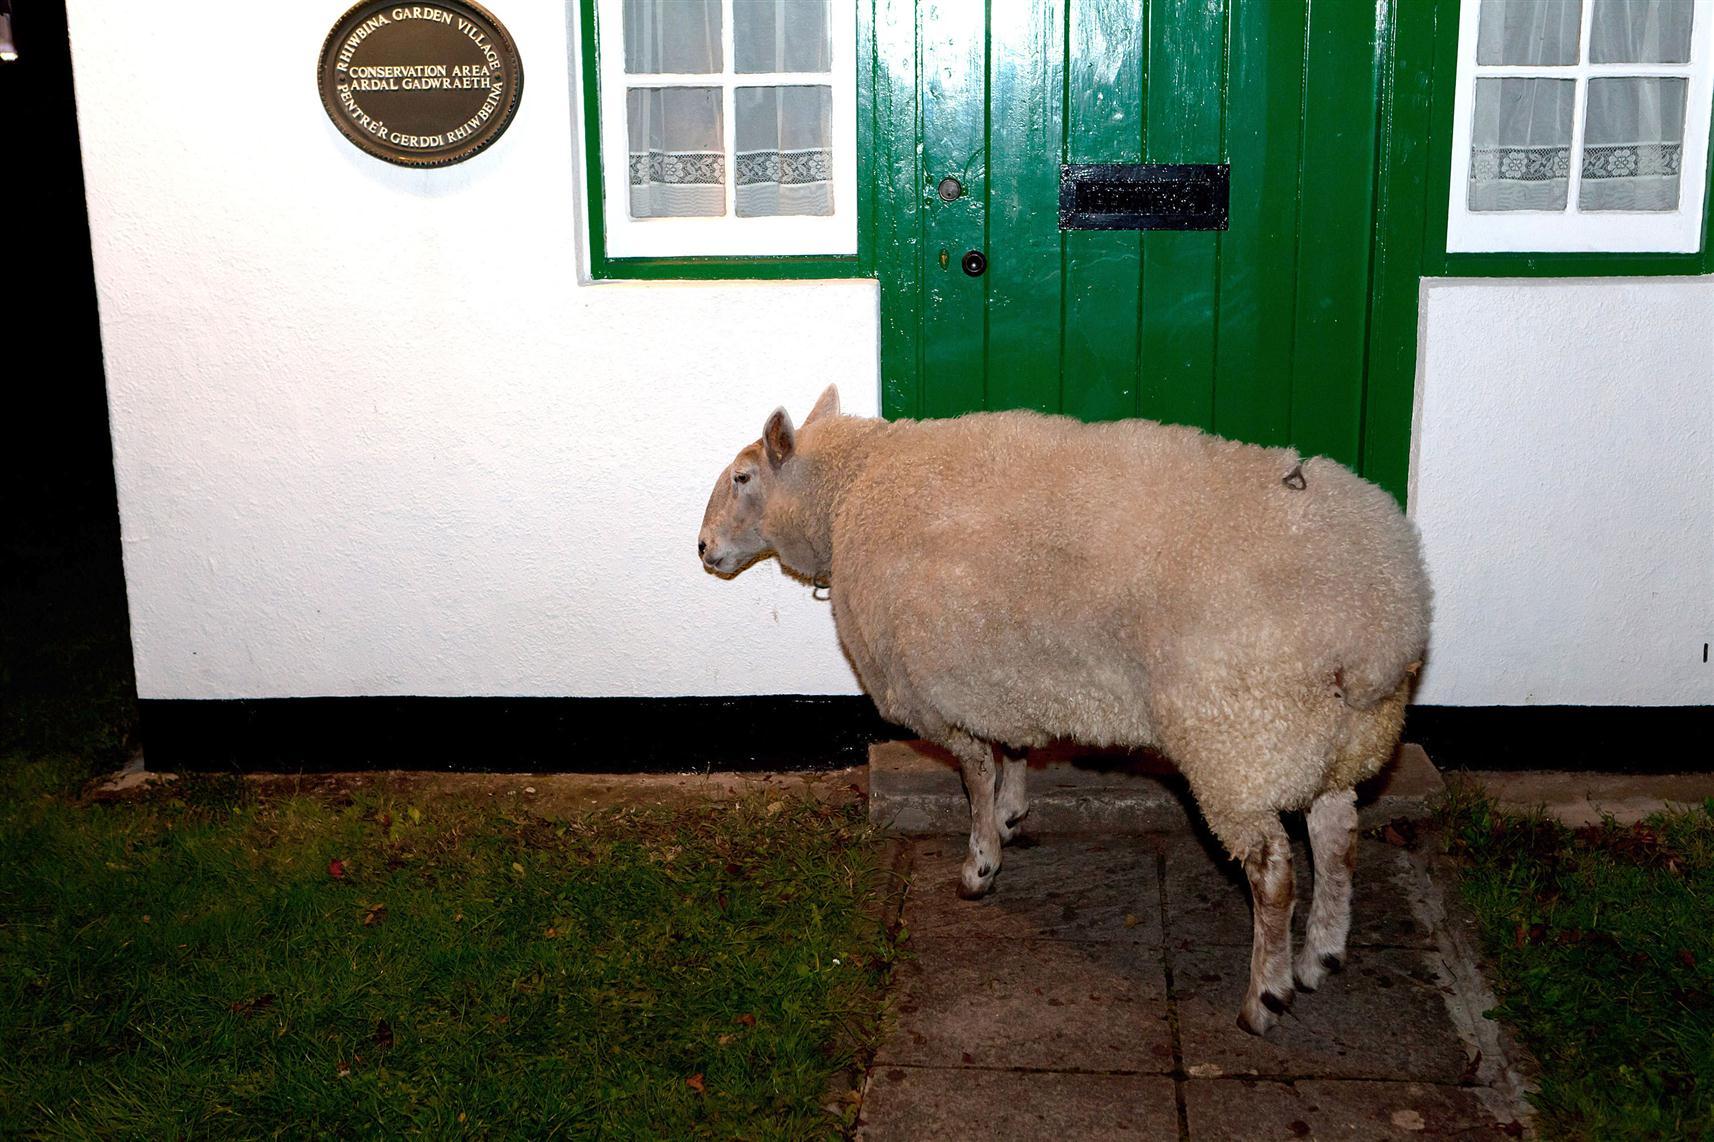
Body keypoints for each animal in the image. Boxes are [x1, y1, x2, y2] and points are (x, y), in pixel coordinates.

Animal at [695, 382, 1432, 1028]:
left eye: (742, 478)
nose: (702, 549)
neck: (848, 496)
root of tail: (1386, 619)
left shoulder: (940, 691)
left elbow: (974, 774)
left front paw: (980, 862)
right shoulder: (1002, 672)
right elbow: (1013, 748)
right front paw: (1013, 811)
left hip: (1237, 740)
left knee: (1272, 869)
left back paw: (1266, 995)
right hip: (1327, 738)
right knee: (1336, 835)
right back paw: (1320, 954)